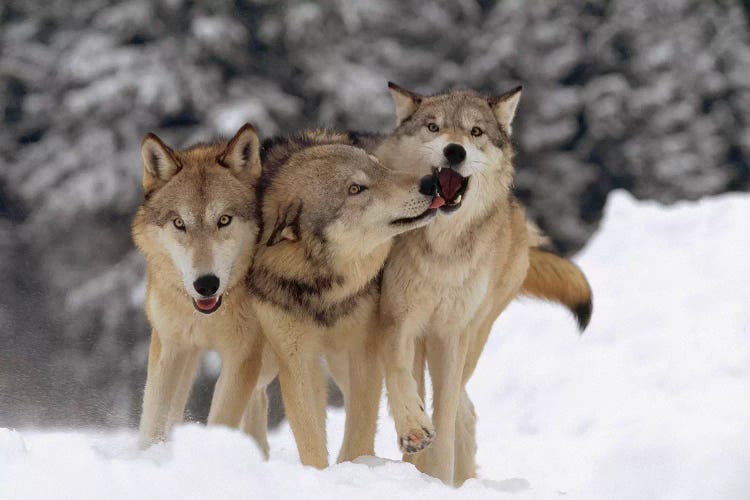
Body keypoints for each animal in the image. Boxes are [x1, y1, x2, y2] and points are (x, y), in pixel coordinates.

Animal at [134, 123, 278, 456]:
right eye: (179, 223)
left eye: (224, 220)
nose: (206, 284)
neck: (206, 316)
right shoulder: (170, 346)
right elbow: (153, 417)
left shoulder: (242, 357)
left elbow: (222, 420)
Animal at [250, 130, 444, 468]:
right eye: (356, 189)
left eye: (380, 167)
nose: (430, 182)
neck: (325, 290)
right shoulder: (297, 360)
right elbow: (310, 438)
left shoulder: (362, 349)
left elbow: (360, 428)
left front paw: (358, 465)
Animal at [370, 82, 592, 484]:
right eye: (434, 127)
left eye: (475, 132)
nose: (454, 151)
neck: (442, 250)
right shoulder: (397, 320)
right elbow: (400, 378)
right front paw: (413, 433)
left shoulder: (450, 333)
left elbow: (444, 420)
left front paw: (438, 479)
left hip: (473, 336)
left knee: (462, 407)